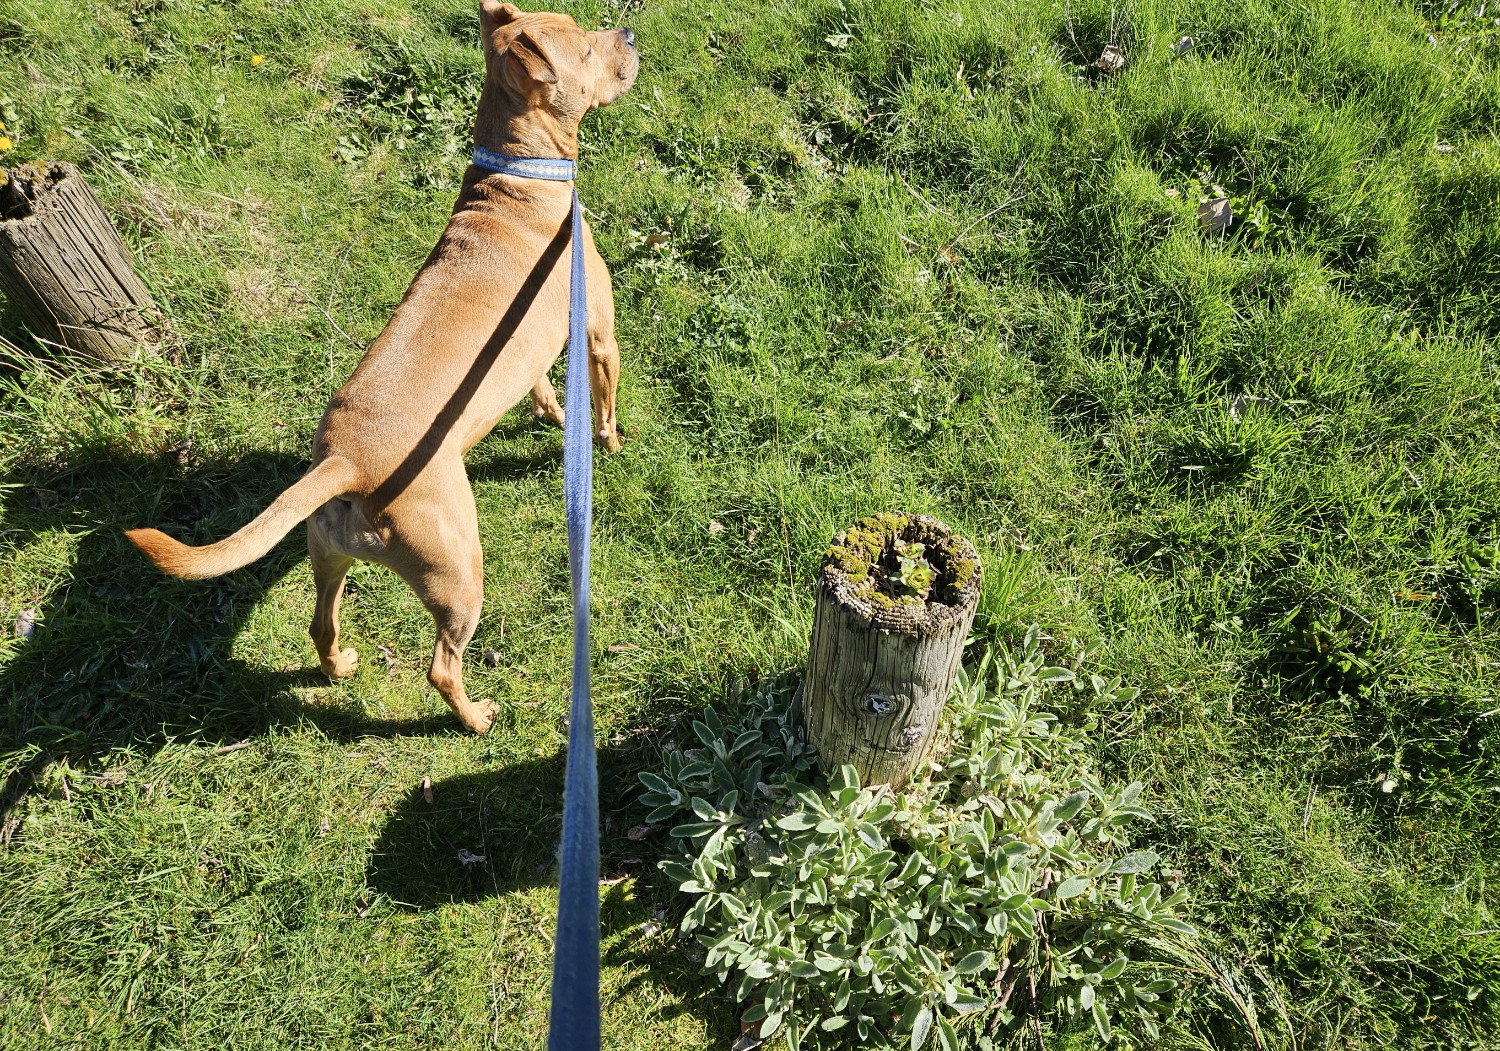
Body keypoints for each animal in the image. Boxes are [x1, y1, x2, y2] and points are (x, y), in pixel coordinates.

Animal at [126, 4, 636, 734]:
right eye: (587, 49)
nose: (629, 34)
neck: (520, 174)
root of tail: (346, 460)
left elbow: (541, 387)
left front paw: (554, 412)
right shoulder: (597, 332)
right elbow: (606, 402)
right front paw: (609, 442)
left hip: (328, 553)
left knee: (320, 623)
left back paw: (338, 667)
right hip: (457, 571)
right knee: (441, 666)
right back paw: (476, 718)